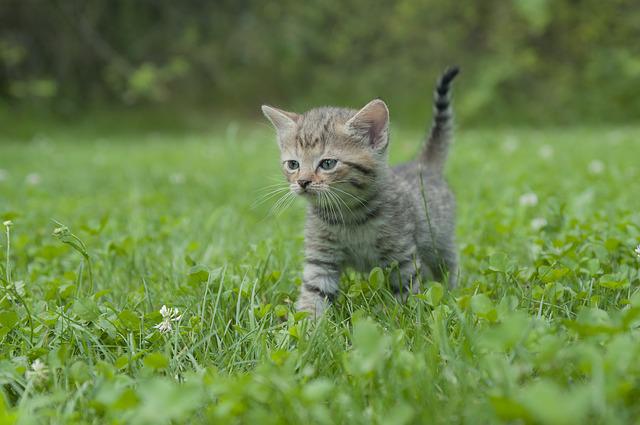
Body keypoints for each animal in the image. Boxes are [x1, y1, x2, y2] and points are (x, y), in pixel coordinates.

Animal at [262, 68, 460, 316]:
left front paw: (406, 317)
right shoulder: (321, 258)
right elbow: (313, 293)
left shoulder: (401, 255)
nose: (303, 182)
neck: (349, 216)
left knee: (450, 263)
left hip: (439, 241)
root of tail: (421, 165)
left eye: (327, 164)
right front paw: (306, 324)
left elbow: (407, 291)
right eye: (293, 165)